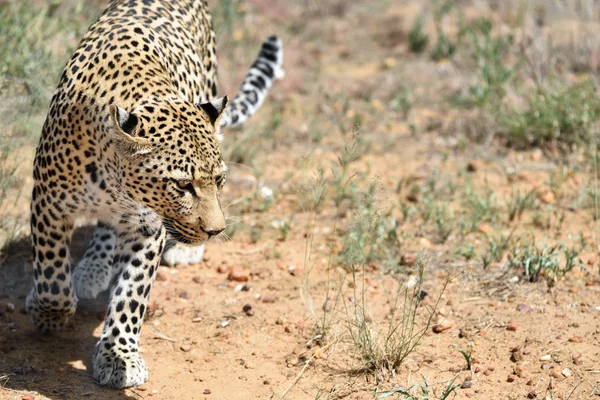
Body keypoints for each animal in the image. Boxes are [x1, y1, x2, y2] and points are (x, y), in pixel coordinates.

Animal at [24, 0, 282, 390]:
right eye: (182, 185)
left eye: (219, 180)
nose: (216, 231)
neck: (112, 178)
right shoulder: (48, 202)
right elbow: (52, 277)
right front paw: (47, 312)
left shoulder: (148, 227)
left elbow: (132, 293)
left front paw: (119, 355)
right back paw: (92, 267)